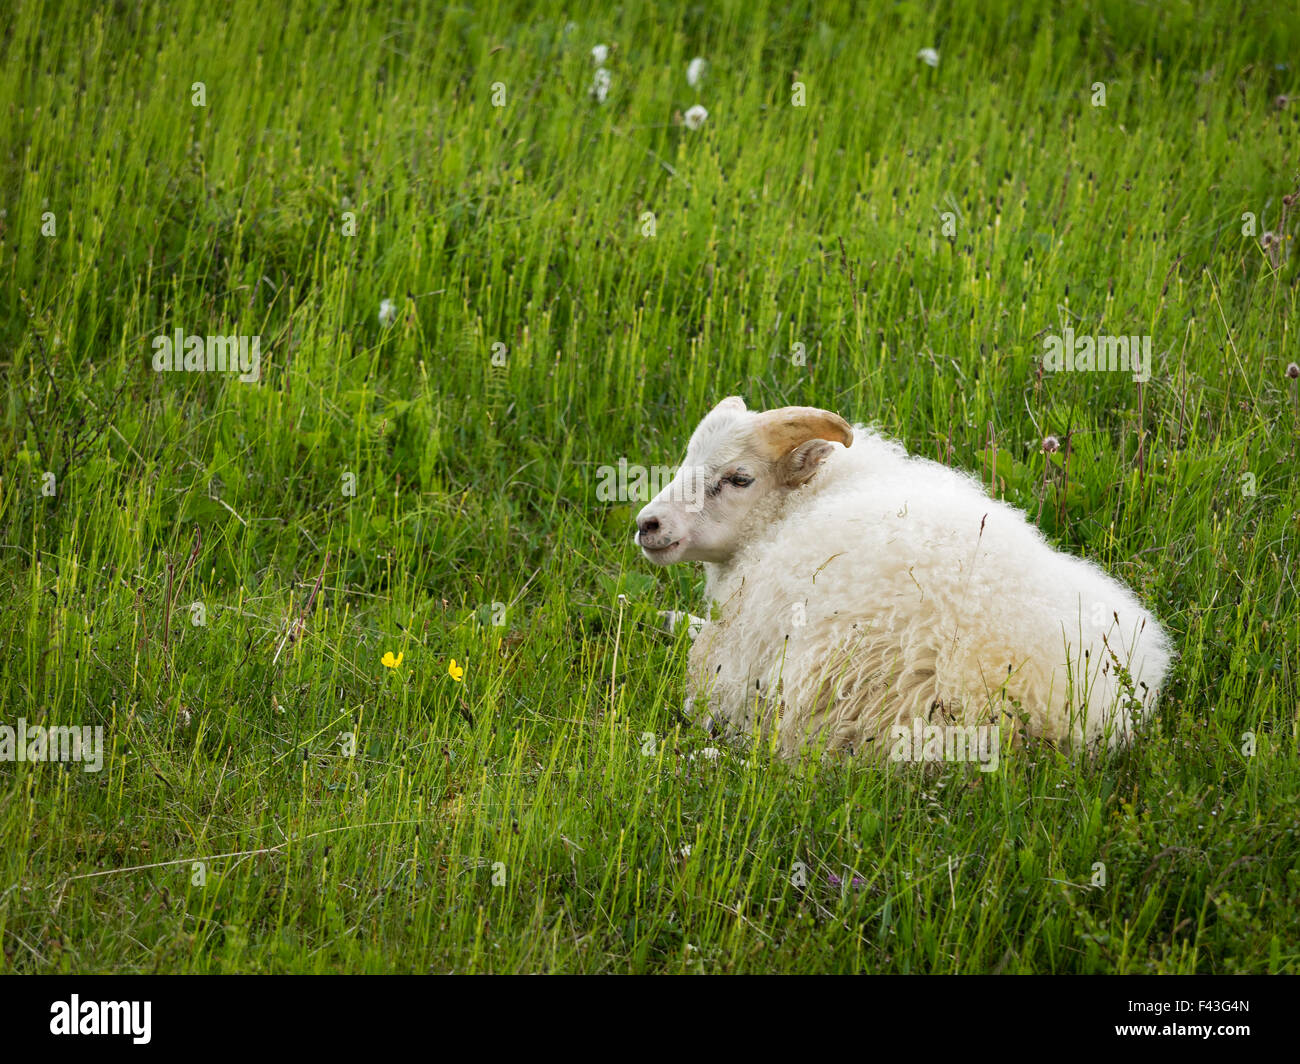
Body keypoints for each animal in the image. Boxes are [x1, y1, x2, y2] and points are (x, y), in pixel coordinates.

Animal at [634, 392, 1175, 759]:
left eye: (739, 478)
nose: (647, 524)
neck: (798, 505)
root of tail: (1045, 708)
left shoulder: (736, 656)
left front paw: (668, 621)